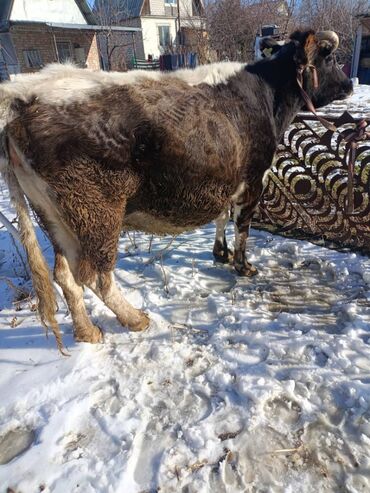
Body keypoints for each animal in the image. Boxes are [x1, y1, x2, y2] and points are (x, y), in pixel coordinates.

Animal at [0, 29, 352, 350]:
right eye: (330, 57)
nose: (349, 85)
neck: (265, 95)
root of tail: (24, 98)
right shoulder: (254, 179)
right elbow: (242, 227)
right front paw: (243, 265)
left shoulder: (224, 178)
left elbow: (222, 216)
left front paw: (220, 253)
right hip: (97, 213)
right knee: (96, 276)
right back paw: (134, 318)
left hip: (55, 217)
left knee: (65, 277)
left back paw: (88, 332)